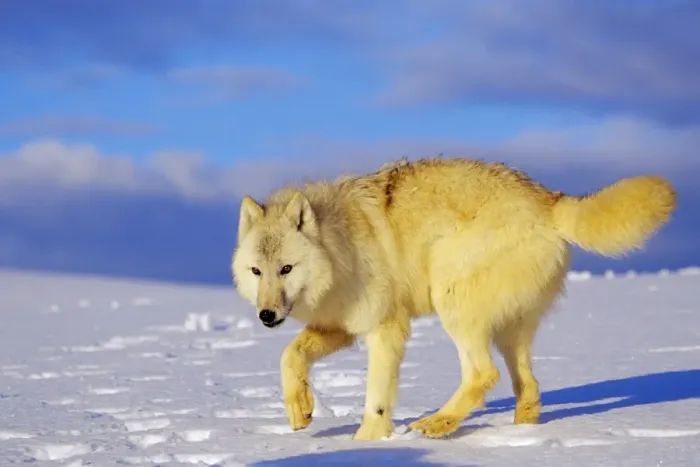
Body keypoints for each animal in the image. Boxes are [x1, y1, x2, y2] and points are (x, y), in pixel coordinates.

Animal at [231, 156, 676, 440]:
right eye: (257, 272)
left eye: (286, 269)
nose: (266, 315)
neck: (341, 245)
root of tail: (549, 198)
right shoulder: (340, 326)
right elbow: (290, 355)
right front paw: (300, 410)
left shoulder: (386, 327)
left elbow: (376, 397)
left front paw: (366, 443)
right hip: (510, 330)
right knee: (528, 385)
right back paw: (519, 437)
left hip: (451, 300)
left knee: (484, 374)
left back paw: (437, 424)